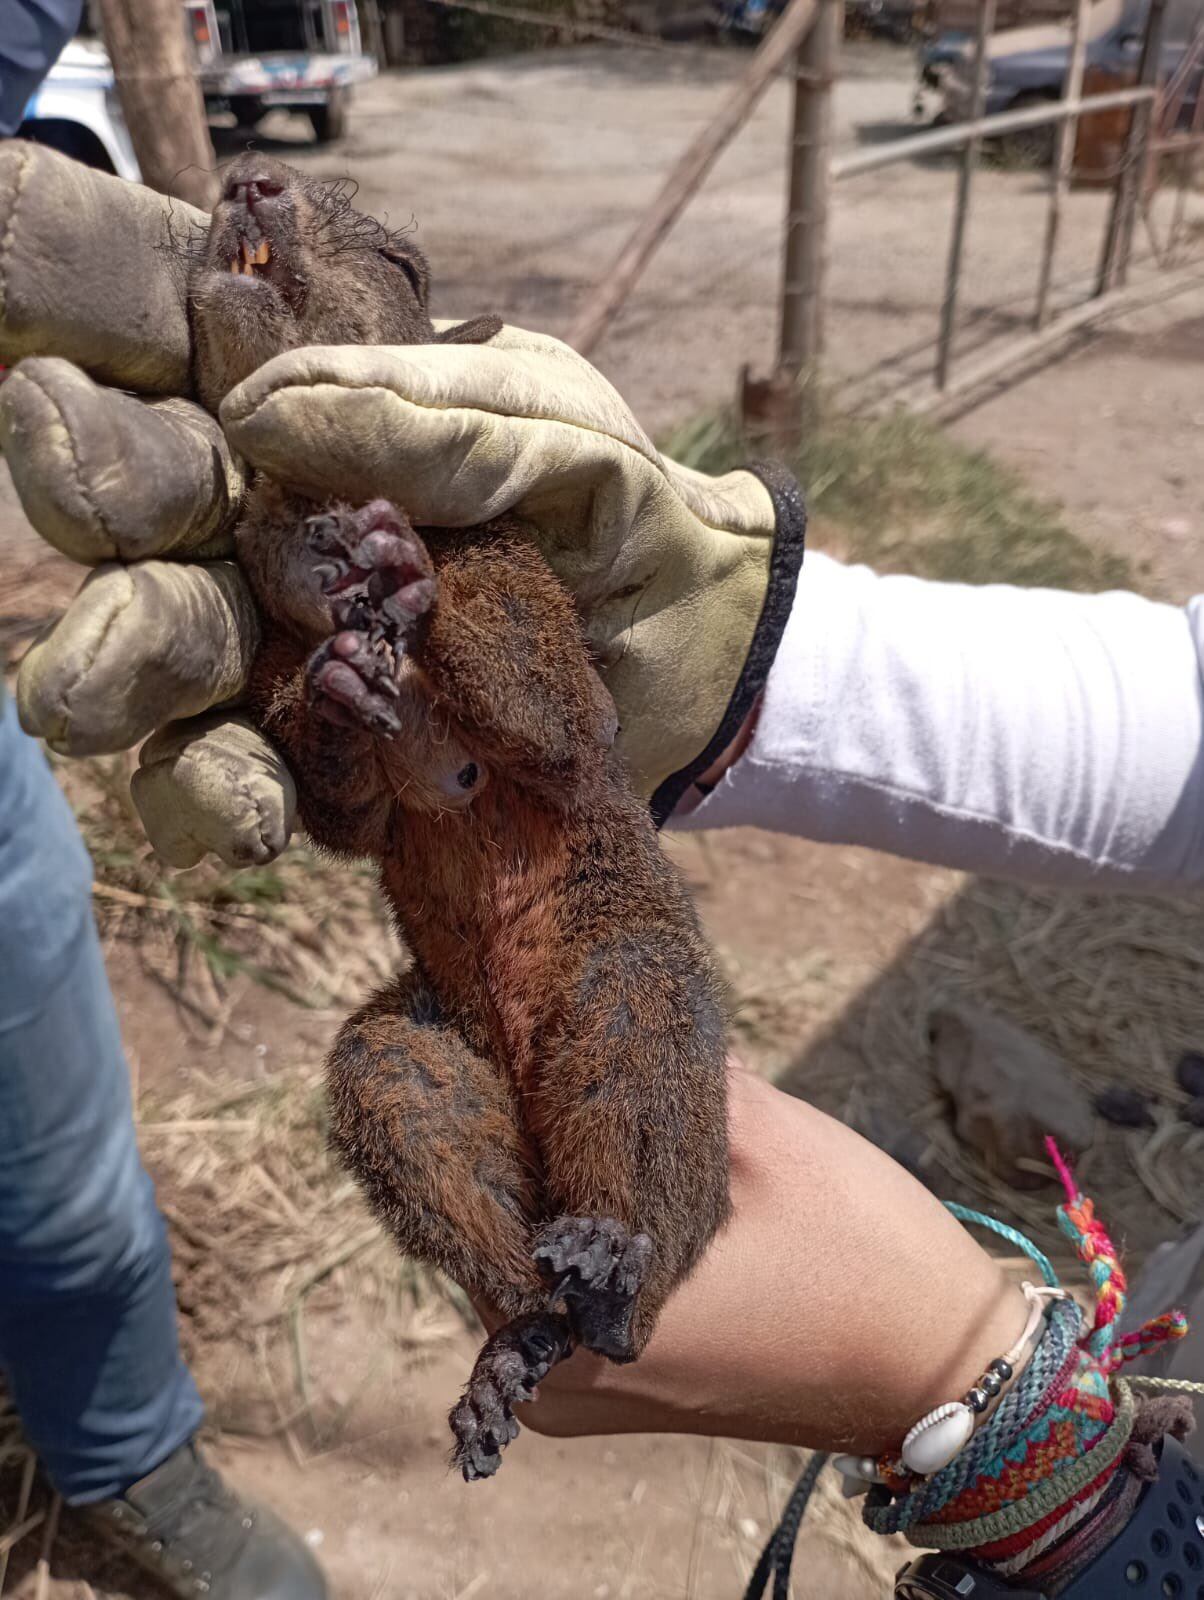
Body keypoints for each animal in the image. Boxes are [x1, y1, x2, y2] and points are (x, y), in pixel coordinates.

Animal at [188, 155, 731, 1480]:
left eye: (403, 267)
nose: (251, 175)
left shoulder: (515, 574)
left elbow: (557, 714)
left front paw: (402, 567)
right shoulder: (275, 647)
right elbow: (340, 798)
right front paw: (340, 684)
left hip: (628, 978)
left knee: (635, 1101)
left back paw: (614, 1257)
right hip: (423, 1064)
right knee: (415, 1105)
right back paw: (517, 1341)